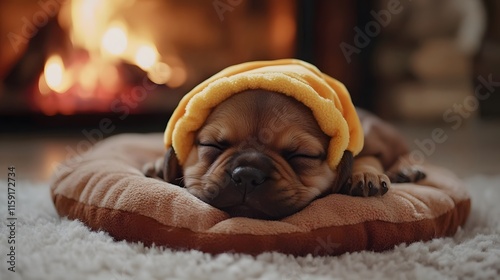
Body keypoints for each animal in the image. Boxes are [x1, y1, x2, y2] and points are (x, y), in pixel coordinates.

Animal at [143, 91, 424, 220]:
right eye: (213, 145)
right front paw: (158, 164)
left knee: (404, 152)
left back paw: (406, 169)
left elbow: (366, 157)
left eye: (300, 155)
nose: (247, 175)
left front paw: (364, 174)